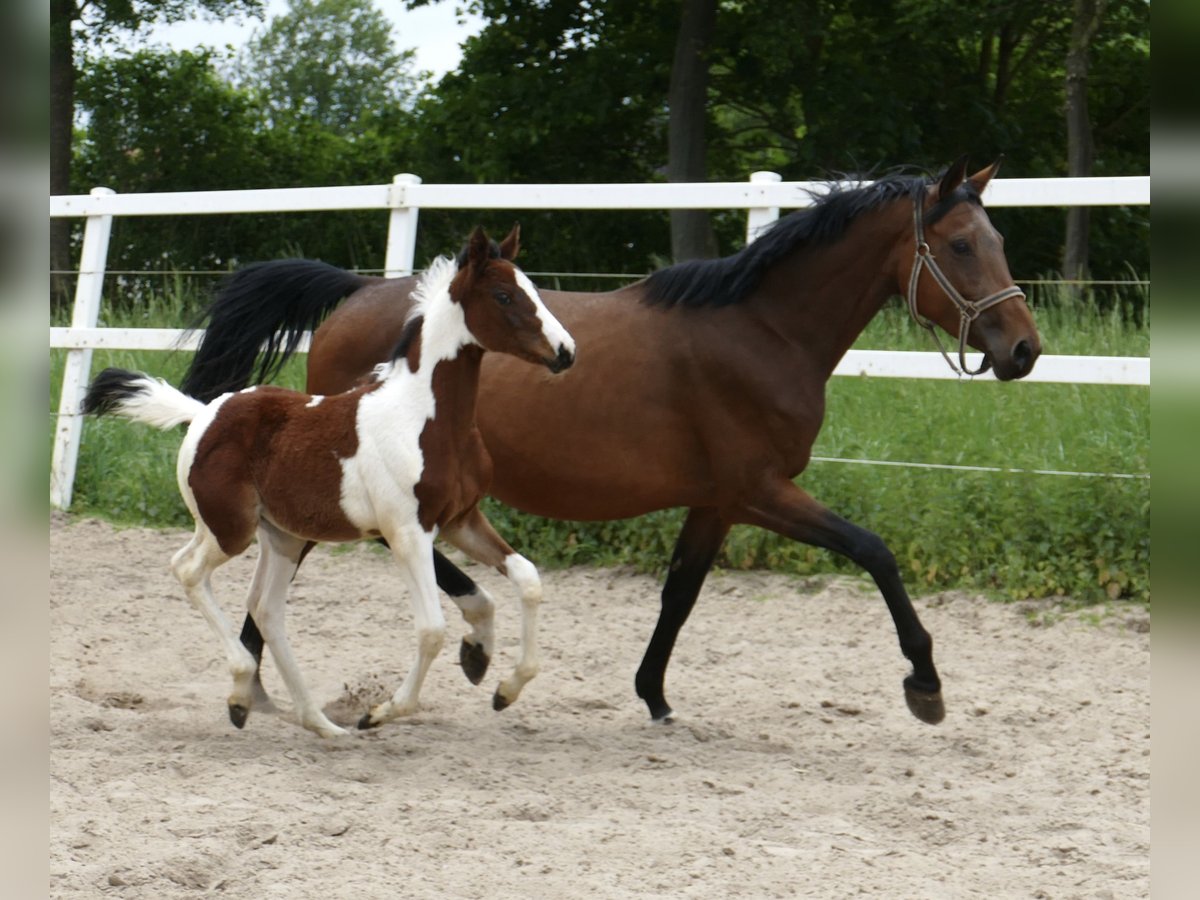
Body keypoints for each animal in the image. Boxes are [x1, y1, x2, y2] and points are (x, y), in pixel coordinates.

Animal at [81, 226, 576, 739]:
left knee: (266, 609)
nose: (565, 352)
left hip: (286, 537)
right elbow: (431, 630)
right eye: (503, 295)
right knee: (188, 570)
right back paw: (247, 692)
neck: (427, 419)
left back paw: (317, 724)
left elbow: (528, 578)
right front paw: (377, 713)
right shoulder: (407, 532)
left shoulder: (462, 519)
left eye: (533, 289)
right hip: (230, 530)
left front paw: (504, 688)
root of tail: (203, 413)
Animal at [180, 158, 1041, 729]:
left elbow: (680, 594)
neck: (762, 332)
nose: (1024, 349)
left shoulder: (718, 502)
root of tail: (354, 291)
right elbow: (875, 552)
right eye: (960, 246)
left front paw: (654, 695)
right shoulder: (763, 490)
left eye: (996, 238)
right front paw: (925, 685)